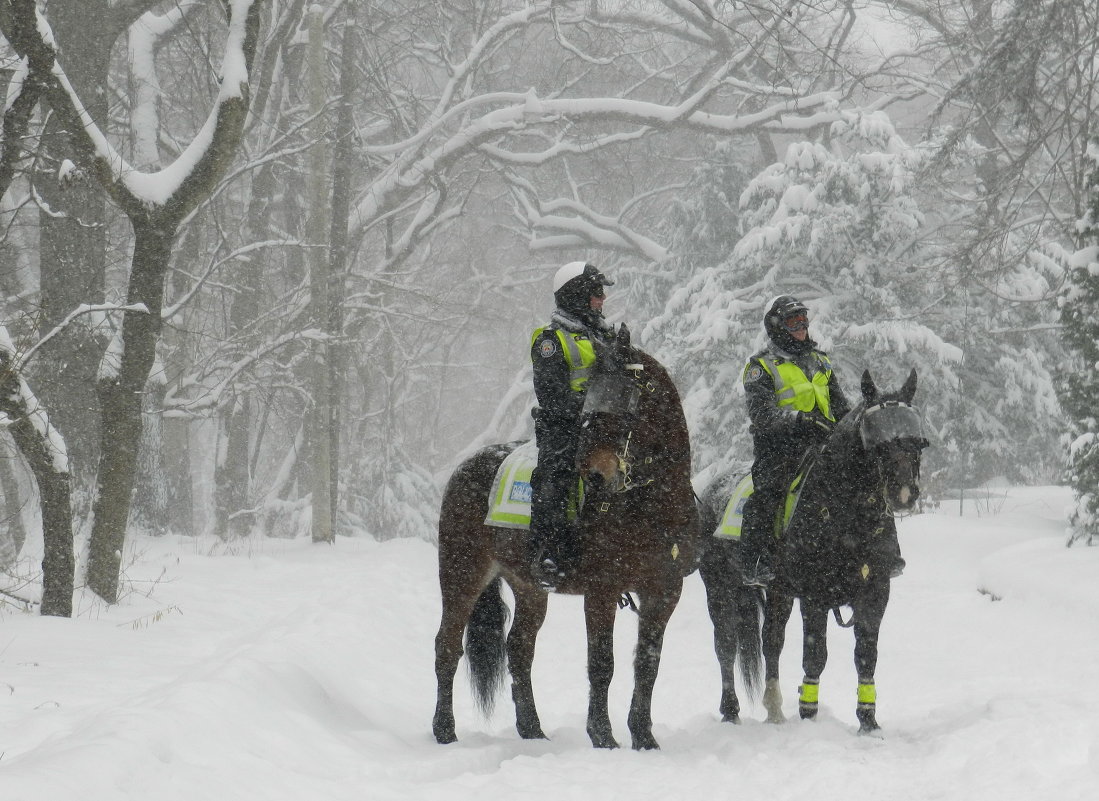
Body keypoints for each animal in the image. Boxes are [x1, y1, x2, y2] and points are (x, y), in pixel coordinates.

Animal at [428, 327, 694, 751]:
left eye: (629, 396)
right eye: (591, 397)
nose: (597, 474)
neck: (651, 505)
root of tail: (466, 466)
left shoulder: (665, 590)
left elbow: (647, 663)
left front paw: (643, 736)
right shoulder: (602, 590)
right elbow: (602, 663)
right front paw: (602, 735)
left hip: (529, 586)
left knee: (519, 649)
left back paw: (532, 729)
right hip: (462, 575)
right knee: (448, 647)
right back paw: (445, 730)